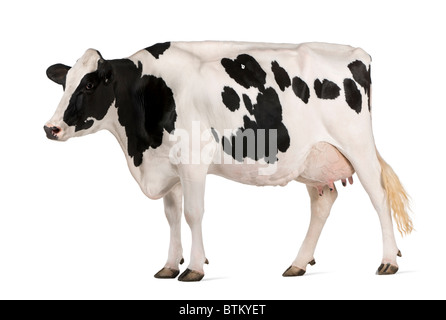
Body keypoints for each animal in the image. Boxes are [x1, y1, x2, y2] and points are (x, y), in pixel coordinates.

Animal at [43, 41, 412, 282]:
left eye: (90, 84)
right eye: (64, 83)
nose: (51, 127)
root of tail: (356, 52)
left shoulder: (193, 161)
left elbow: (193, 214)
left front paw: (193, 268)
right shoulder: (167, 165)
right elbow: (172, 216)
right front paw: (169, 265)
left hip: (357, 145)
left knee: (379, 197)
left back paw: (388, 261)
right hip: (311, 158)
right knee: (323, 201)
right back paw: (298, 263)